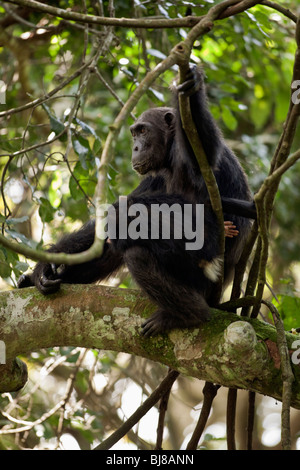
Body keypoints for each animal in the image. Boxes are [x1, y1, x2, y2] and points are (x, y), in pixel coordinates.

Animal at [17, 67, 254, 338]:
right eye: (134, 133)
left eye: (143, 131)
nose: (136, 147)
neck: (170, 155)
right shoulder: (154, 176)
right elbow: (118, 211)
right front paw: (43, 266)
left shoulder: (189, 155)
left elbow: (203, 156)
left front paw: (193, 85)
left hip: (201, 277)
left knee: (138, 251)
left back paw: (189, 314)